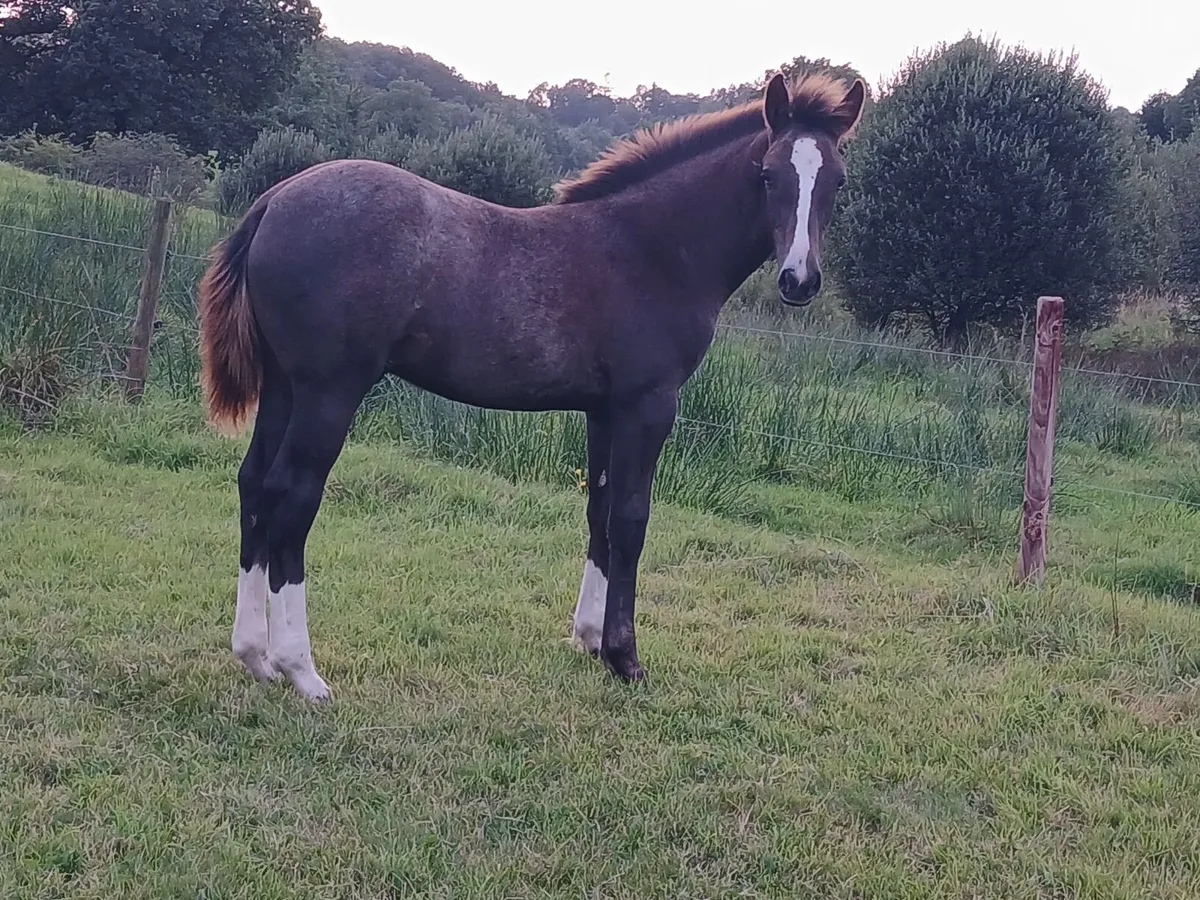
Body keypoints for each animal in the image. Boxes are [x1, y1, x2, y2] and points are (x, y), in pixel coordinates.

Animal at [197, 71, 866, 701]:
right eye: (769, 174)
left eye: (837, 181)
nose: (800, 280)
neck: (652, 249)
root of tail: (275, 200)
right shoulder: (649, 404)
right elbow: (631, 518)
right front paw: (625, 658)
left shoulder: (604, 411)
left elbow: (599, 512)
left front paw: (590, 639)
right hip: (328, 392)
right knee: (292, 496)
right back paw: (301, 670)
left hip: (284, 387)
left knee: (254, 484)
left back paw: (255, 656)